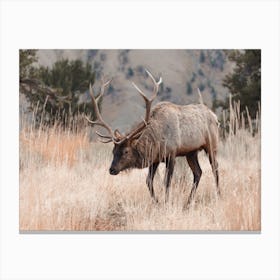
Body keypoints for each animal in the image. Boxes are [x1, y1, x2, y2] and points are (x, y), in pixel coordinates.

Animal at [86, 70, 220, 206]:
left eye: (126, 151)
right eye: (113, 151)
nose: (112, 169)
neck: (157, 139)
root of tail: (215, 117)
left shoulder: (172, 154)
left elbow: (166, 182)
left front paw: (166, 202)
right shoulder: (155, 158)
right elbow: (148, 181)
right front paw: (157, 202)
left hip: (211, 144)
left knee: (215, 167)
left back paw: (218, 195)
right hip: (191, 152)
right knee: (198, 172)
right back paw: (188, 202)